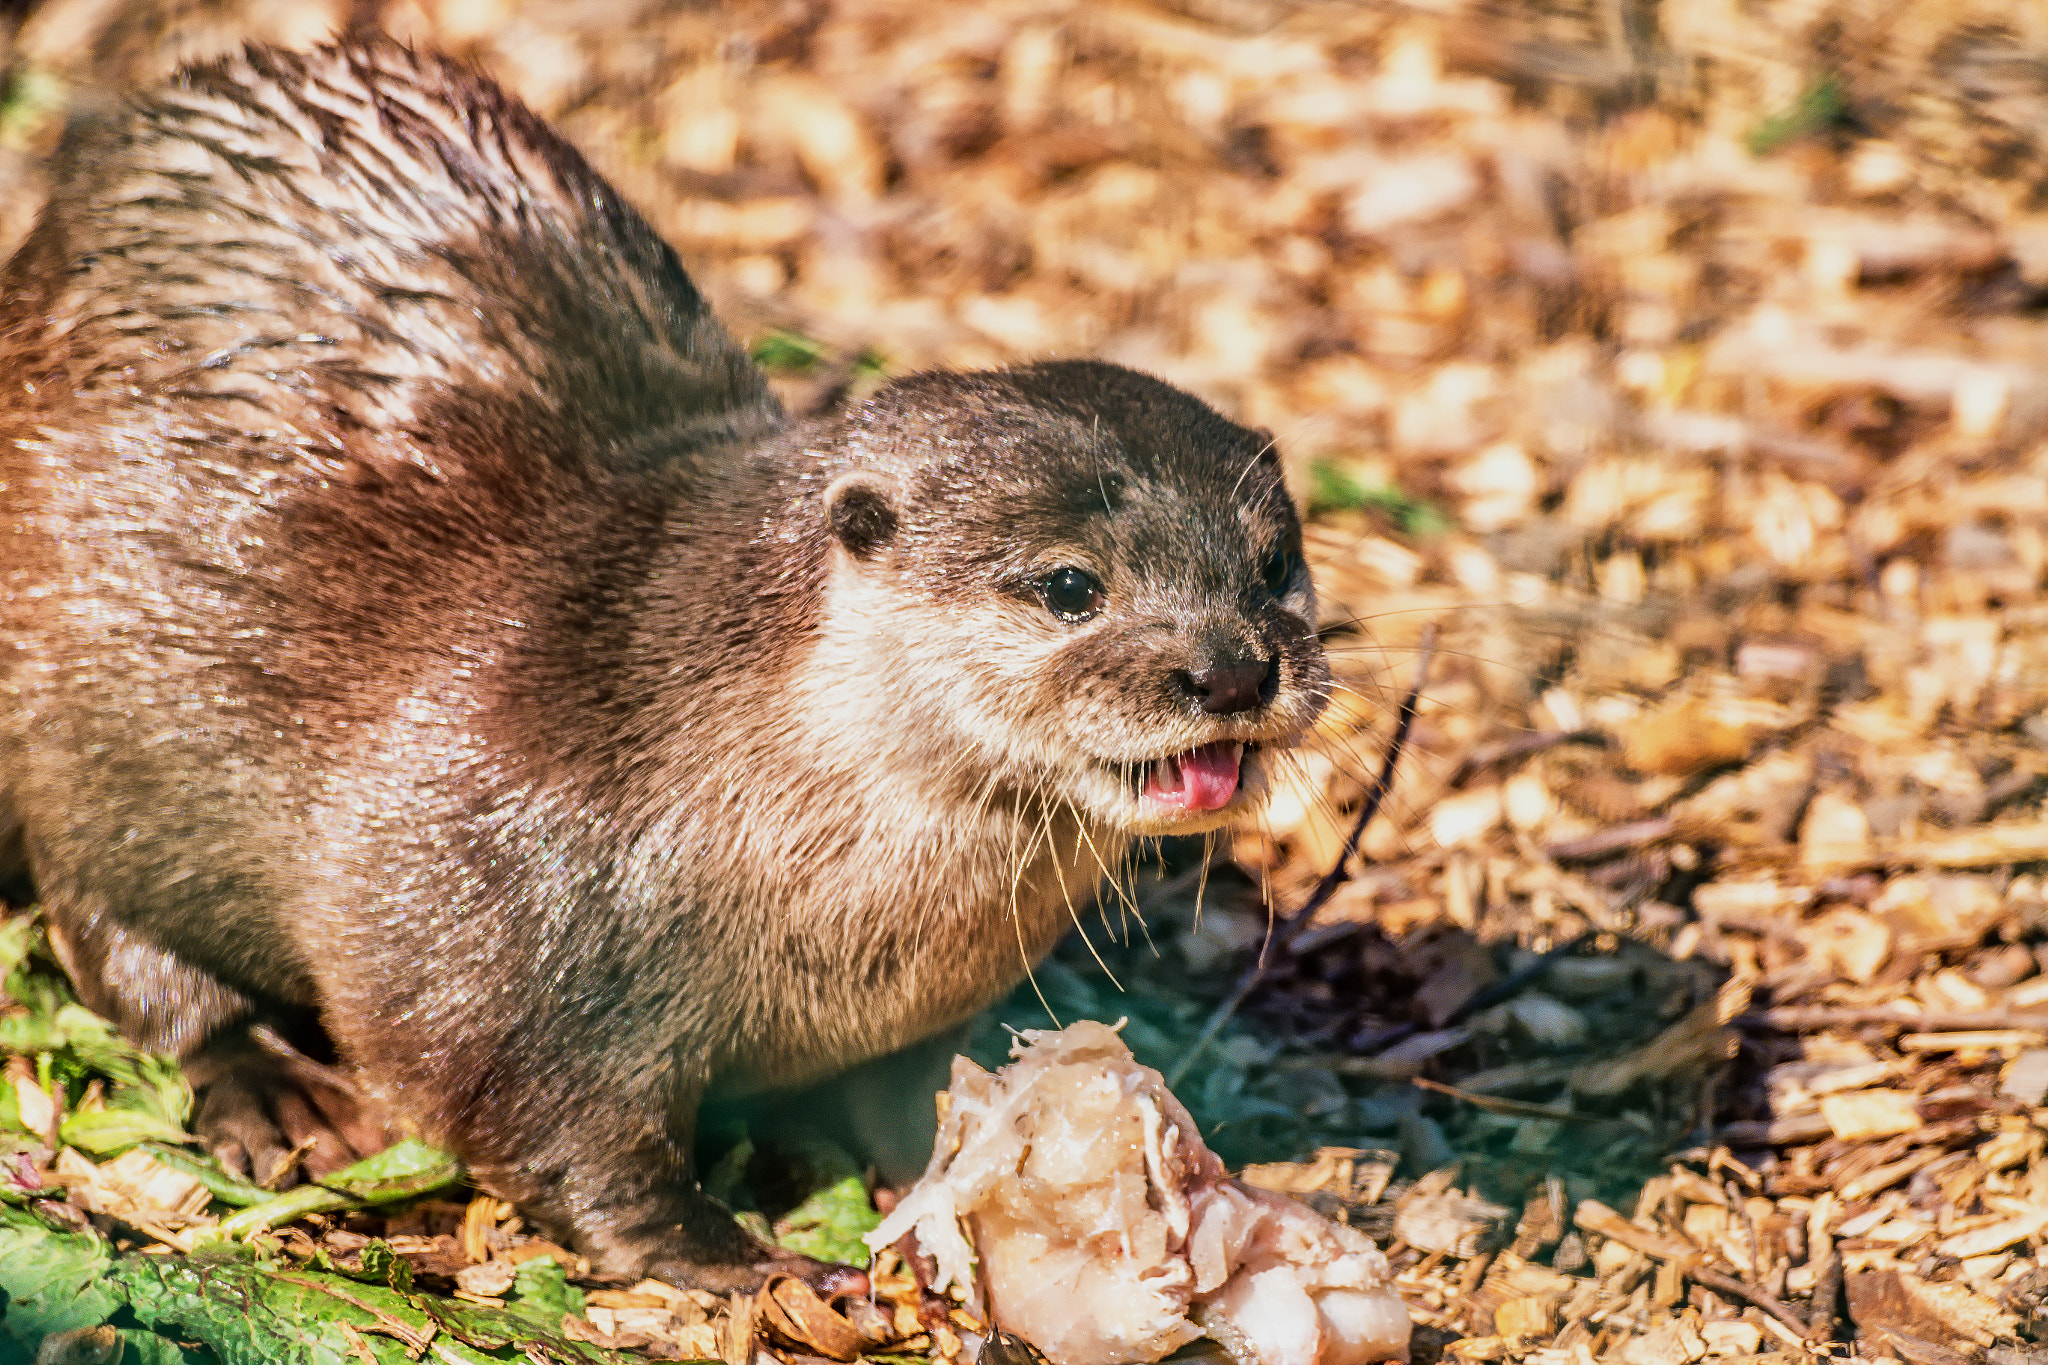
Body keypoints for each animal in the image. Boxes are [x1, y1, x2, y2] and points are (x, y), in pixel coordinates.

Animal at [0, 37, 1330, 1291]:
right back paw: (272, 1092)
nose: (1230, 671)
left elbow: (914, 1091)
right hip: (82, 729)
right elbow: (535, 1116)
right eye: (1069, 587)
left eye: (1273, 564)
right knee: (118, 936)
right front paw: (738, 1256)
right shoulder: (491, 931)